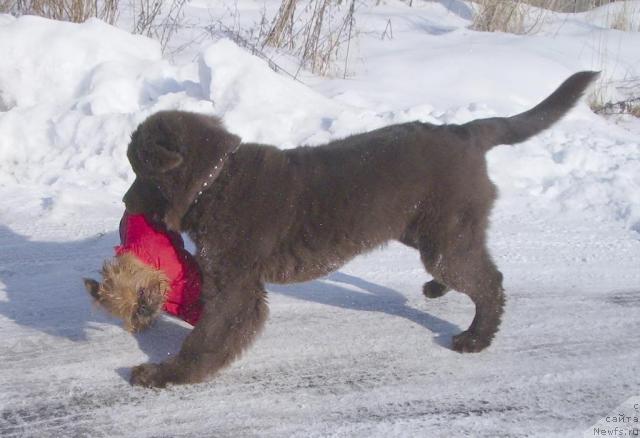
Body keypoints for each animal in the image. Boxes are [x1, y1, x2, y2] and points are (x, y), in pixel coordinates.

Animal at [114, 71, 596, 386]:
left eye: (140, 170)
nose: (123, 202)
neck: (215, 182)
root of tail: (466, 132)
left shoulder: (236, 286)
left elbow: (208, 336)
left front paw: (165, 373)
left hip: (445, 237)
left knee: (489, 281)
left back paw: (475, 339)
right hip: (427, 230)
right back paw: (438, 291)